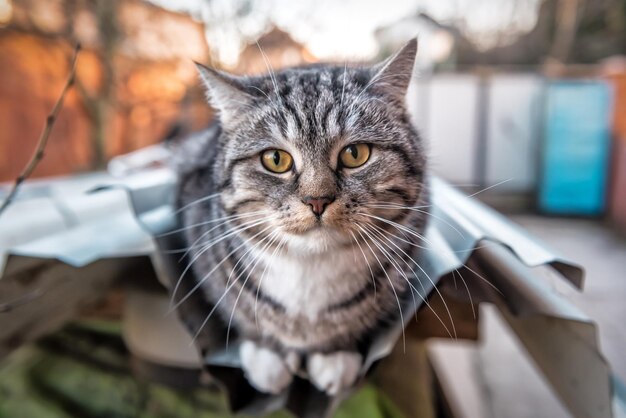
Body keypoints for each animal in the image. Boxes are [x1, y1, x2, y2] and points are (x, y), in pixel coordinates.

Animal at [176, 39, 428, 396]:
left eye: (356, 154)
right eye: (275, 159)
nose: (317, 200)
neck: (310, 271)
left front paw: (335, 354)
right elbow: (243, 314)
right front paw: (267, 356)